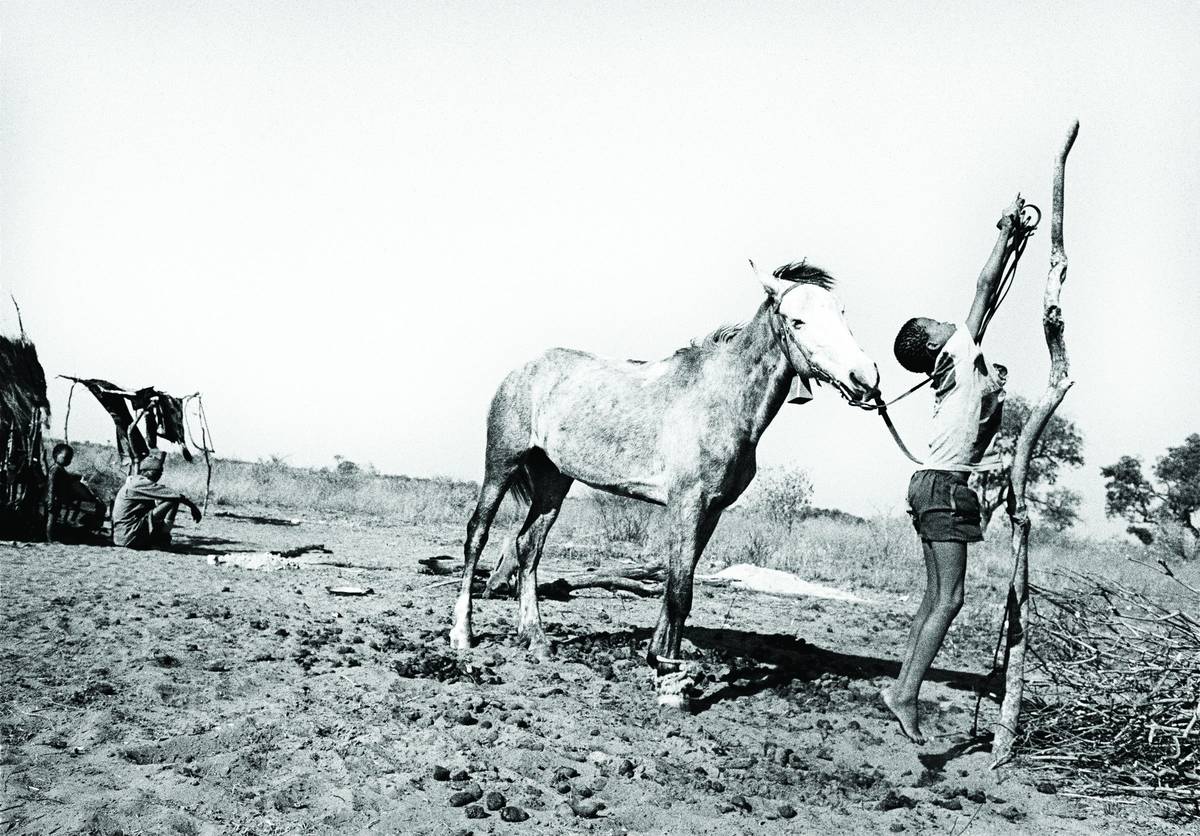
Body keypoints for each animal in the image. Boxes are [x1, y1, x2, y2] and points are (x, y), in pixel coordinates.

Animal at [451, 261, 883, 705]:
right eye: (797, 321)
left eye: (843, 314)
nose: (864, 377)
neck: (722, 400)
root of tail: (523, 370)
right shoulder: (686, 504)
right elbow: (679, 590)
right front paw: (670, 681)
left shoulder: (710, 510)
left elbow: (679, 582)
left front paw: (657, 658)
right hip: (502, 463)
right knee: (477, 534)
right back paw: (463, 634)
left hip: (554, 479)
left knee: (528, 546)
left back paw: (535, 639)